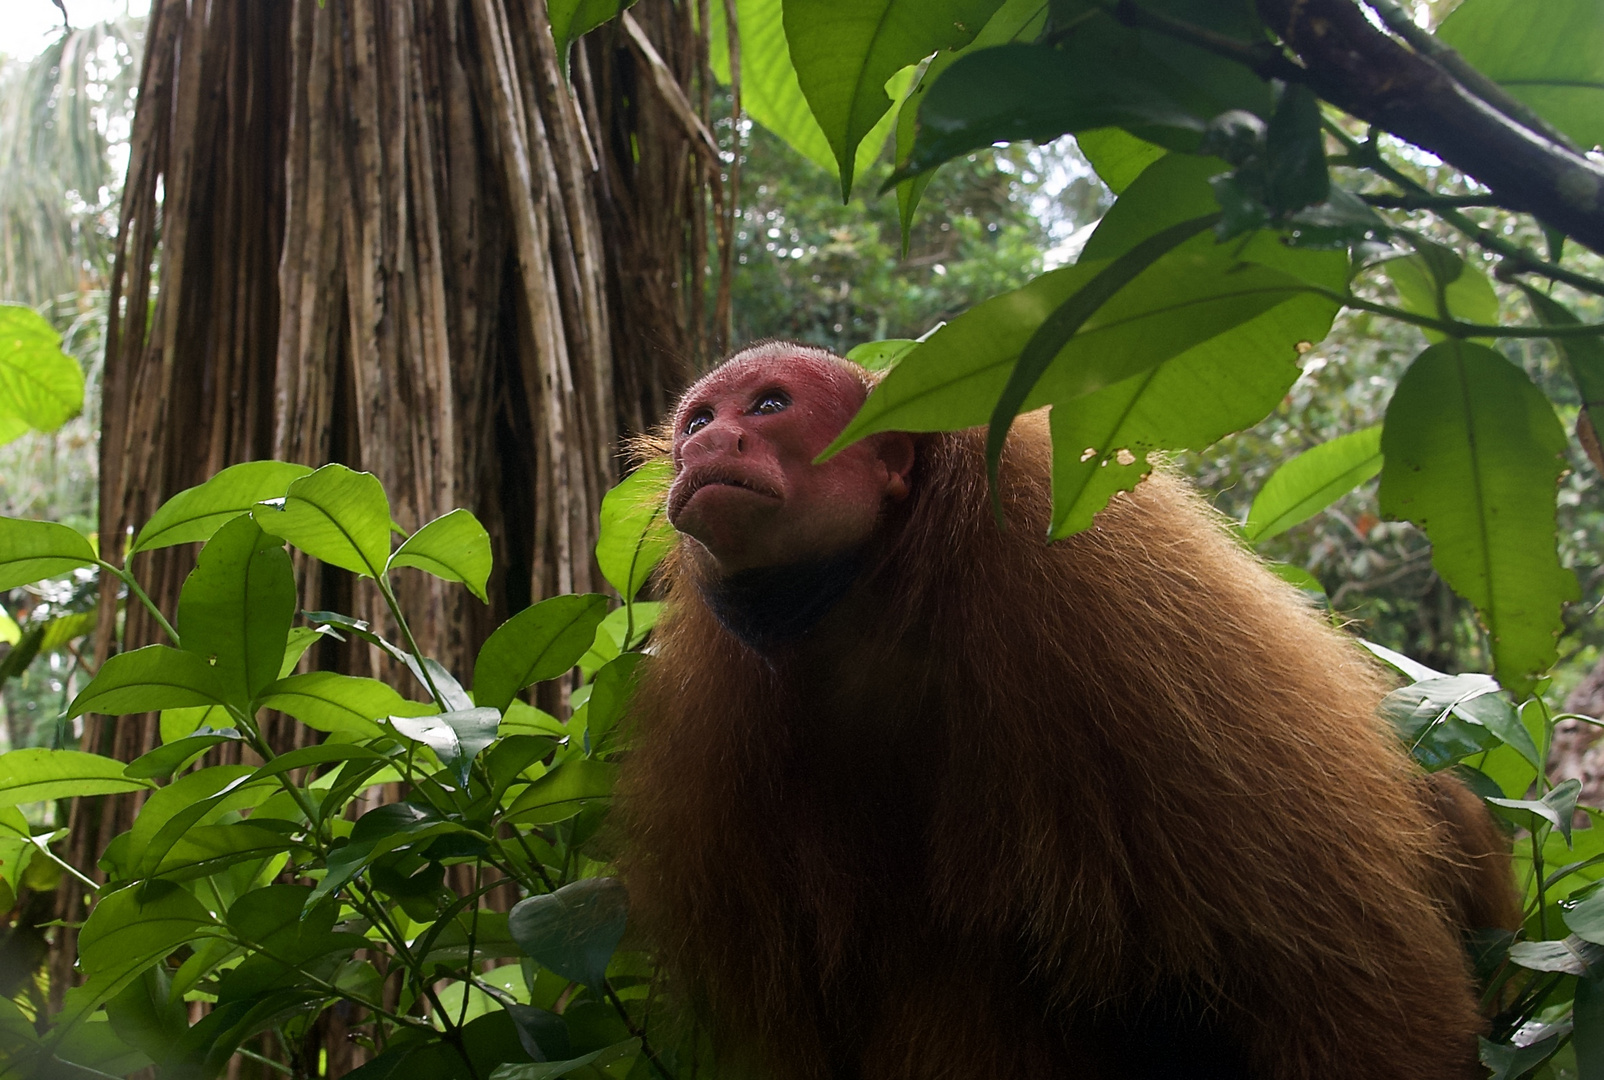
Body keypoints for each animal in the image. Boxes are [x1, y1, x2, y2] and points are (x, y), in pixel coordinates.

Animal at [619, 341, 1520, 1071]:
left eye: (769, 406)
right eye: (699, 417)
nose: (704, 444)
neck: (875, 603)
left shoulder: (1087, 565)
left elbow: (1333, 943)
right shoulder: (724, 718)